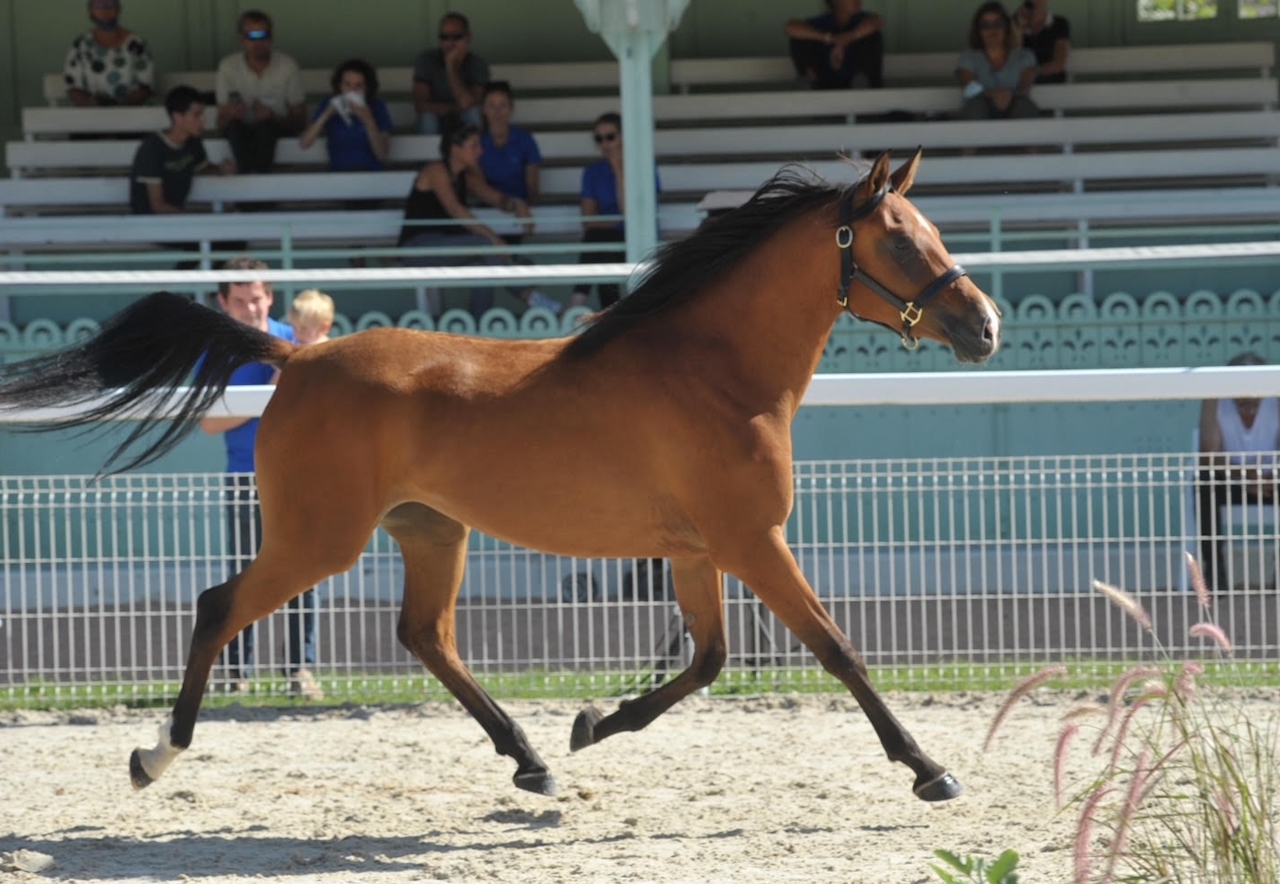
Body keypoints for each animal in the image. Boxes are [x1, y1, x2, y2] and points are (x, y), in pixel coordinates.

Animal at [0, 150, 998, 803]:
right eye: (900, 242)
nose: (983, 326)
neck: (713, 371)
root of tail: (297, 357)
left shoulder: (698, 549)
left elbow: (709, 660)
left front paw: (593, 724)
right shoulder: (753, 541)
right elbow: (838, 649)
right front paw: (931, 771)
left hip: (430, 530)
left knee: (425, 635)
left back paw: (532, 759)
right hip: (319, 539)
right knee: (220, 607)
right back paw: (154, 757)